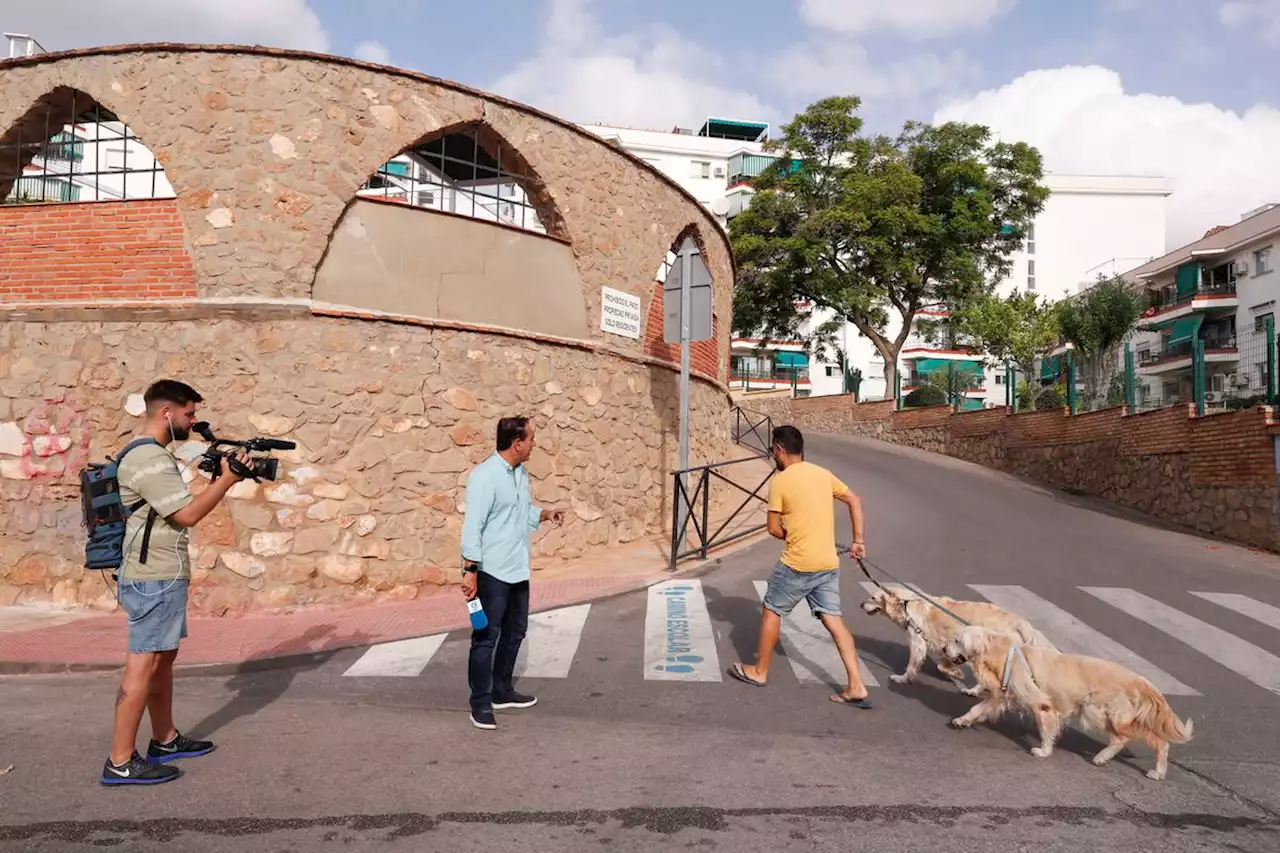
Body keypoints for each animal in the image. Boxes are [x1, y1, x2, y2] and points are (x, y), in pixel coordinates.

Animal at [860, 584, 1059, 696]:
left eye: (872, 597)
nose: (861, 604)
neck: (905, 604)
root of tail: (1019, 621)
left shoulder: (918, 643)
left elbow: (912, 666)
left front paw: (902, 678)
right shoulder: (946, 646)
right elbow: (942, 664)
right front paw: (955, 671)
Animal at [942, 617, 1187, 778]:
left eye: (956, 641)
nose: (944, 649)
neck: (1002, 652)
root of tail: (1139, 679)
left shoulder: (1040, 704)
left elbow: (1045, 730)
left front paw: (1043, 751)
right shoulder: (1004, 695)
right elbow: (978, 708)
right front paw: (962, 720)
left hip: (1095, 711)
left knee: (1124, 738)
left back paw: (1103, 757)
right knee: (1158, 741)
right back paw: (1157, 771)